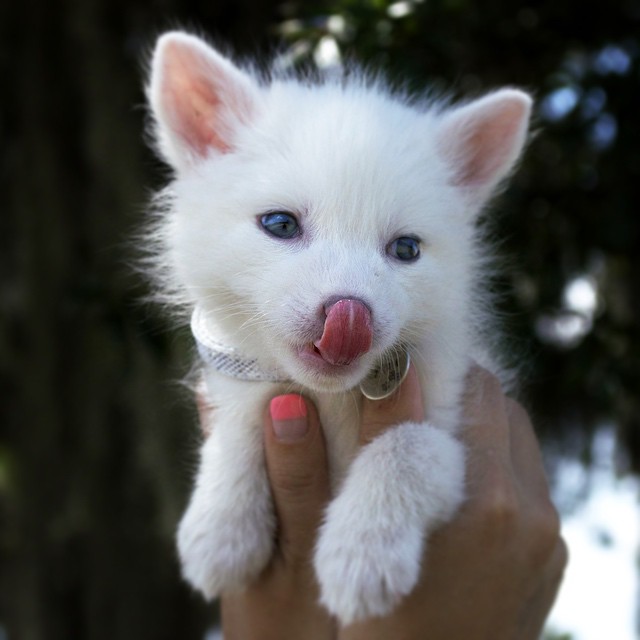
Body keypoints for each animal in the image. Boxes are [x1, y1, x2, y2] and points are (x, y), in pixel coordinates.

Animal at [144, 31, 532, 624]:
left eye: (406, 249)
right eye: (280, 224)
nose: (350, 317)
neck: (330, 400)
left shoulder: (459, 435)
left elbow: (408, 445)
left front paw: (362, 551)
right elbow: (240, 423)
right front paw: (220, 523)